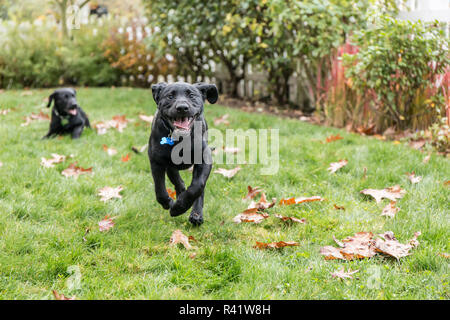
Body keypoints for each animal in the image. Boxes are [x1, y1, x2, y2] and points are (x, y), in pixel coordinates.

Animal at [149, 81, 218, 225]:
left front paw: (180, 207)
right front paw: (169, 203)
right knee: (177, 180)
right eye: (170, 96)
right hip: (170, 165)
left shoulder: (204, 159)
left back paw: (196, 215)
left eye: (191, 95)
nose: (182, 107)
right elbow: (160, 189)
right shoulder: (156, 160)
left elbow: (197, 186)